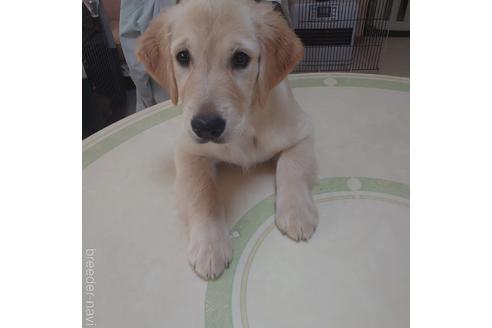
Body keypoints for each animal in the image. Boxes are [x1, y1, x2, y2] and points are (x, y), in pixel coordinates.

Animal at [136, 0, 318, 280]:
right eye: (183, 57)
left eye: (241, 58)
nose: (206, 126)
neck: (246, 124)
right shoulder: (188, 149)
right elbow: (203, 192)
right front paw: (209, 246)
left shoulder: (303, 132)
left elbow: (292, 167)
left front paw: (297, 212)